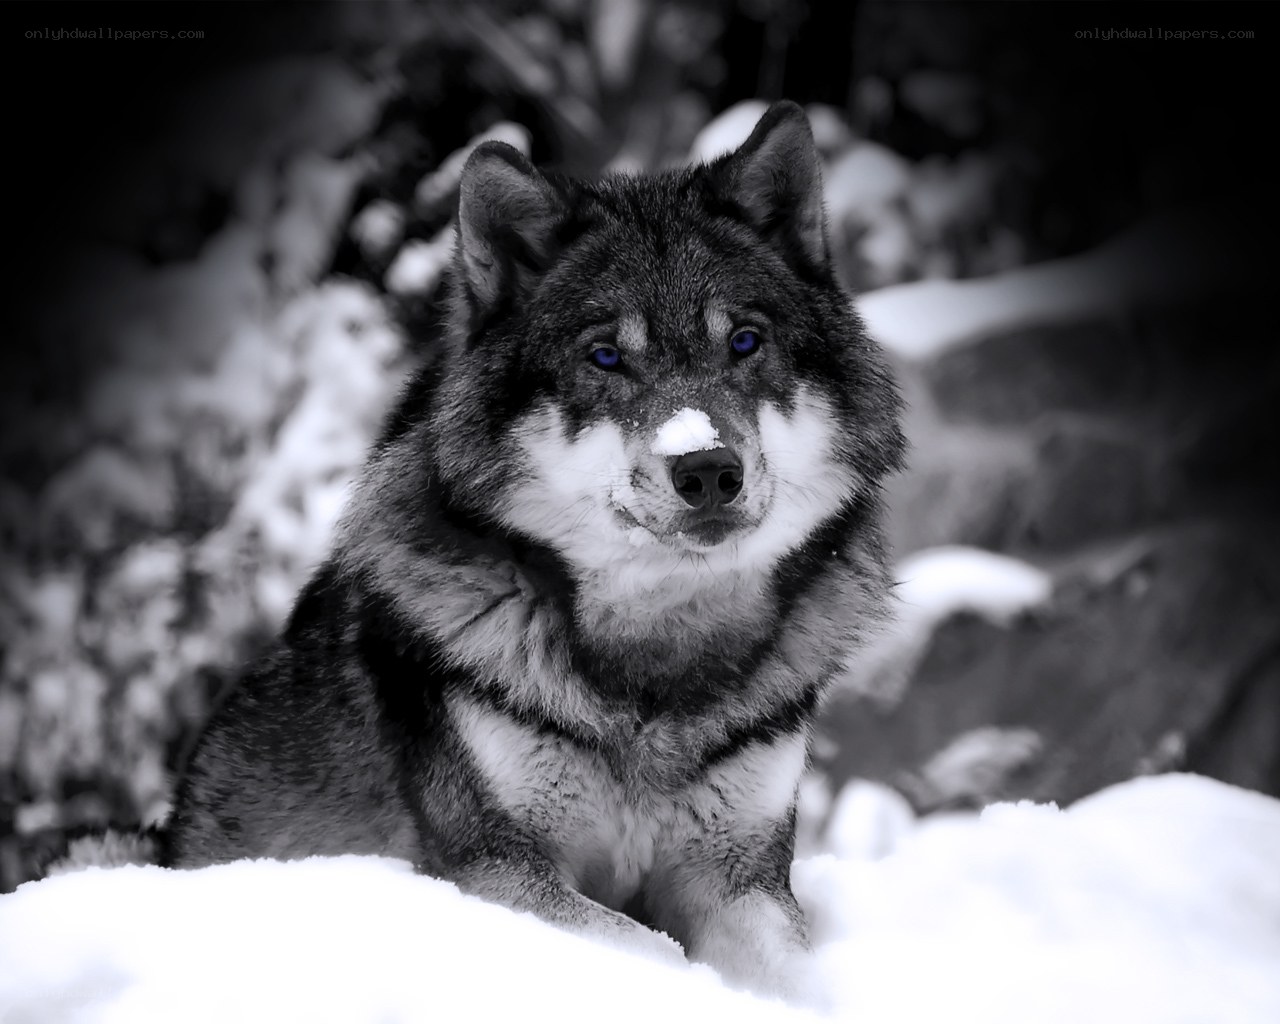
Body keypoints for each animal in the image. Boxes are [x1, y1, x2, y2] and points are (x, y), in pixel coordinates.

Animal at [149, 101, 903, 998]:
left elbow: (801, 979)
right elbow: (652, 951)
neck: (656, 671)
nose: (708, 469)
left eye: (745, 343)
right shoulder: (494, 870)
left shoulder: (739, 878)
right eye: (606, 356)